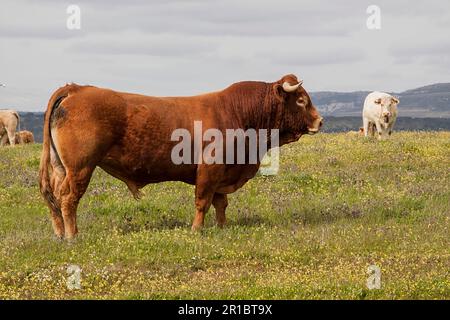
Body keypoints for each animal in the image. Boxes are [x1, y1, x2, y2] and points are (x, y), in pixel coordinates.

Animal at [39, 75, 324, 239]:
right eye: (300, 100)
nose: (320, 121)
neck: (238, 114)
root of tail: (76, 89)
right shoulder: (209, 170)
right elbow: (203, 202)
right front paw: (196, 230)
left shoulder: (222, 173)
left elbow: (221, 203)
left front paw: (222, 227)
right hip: (80, 168)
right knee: (68, 199)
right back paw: (72, 236)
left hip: (61, 167)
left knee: (54, 197)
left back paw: (59, 233)